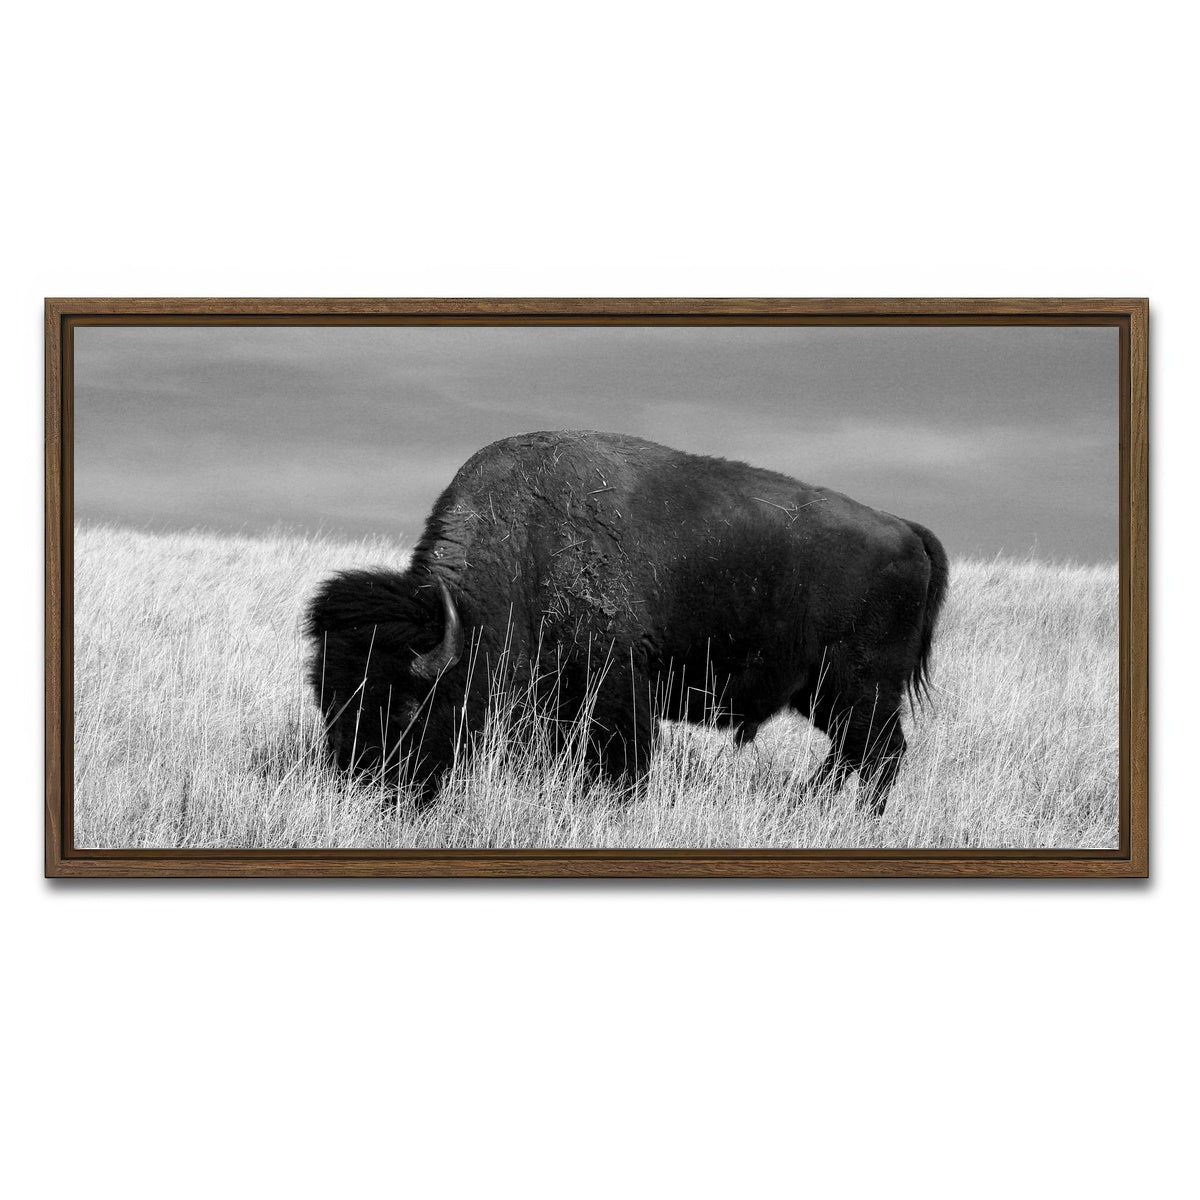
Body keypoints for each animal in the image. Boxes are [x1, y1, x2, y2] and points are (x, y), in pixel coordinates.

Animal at [305, 430, 948, 815]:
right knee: (854, 752)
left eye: (407, 706)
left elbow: (623, 758)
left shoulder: (616, 683)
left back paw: (853, 815)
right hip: (823, 693)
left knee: (879, 753)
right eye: (328, 701)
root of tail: (906, 529)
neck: (524, 549)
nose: (362, 788)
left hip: (860, 686)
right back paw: (810, 804)